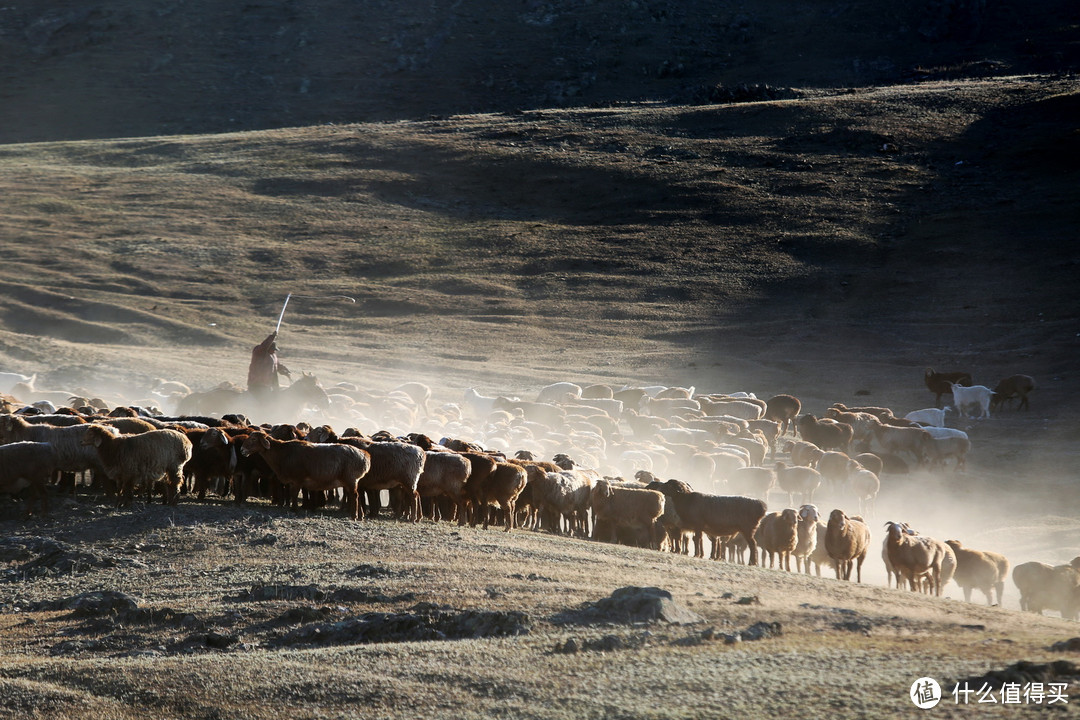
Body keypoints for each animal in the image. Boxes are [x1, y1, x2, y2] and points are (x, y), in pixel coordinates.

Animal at [239, 431, 371, 520]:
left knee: (354, 495)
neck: (281, 453)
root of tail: (364, 456)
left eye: (253, 439)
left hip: (350, 479)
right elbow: (292, 493)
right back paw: (360, 516)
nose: (241, 450)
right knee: (357, 495)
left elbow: (294, 493)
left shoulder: (297, 479)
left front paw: (294, 509)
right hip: (352, 481)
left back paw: (354, 516)